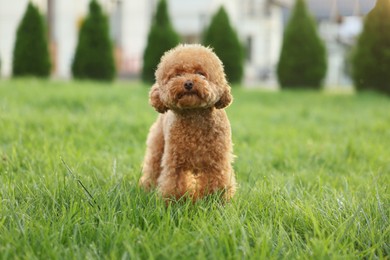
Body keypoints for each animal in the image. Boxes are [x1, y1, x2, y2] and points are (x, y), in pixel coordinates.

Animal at [140, 43, 238, 202]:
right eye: (177, 75)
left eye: (201, 73)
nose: (188, 83)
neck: (194, 116)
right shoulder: (175, 162)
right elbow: (173, 183)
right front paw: (173, 203)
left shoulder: (217, 162)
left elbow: (217, 182)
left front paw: (215, 201)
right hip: (158, 146)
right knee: (152, 169)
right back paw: (146, 189)